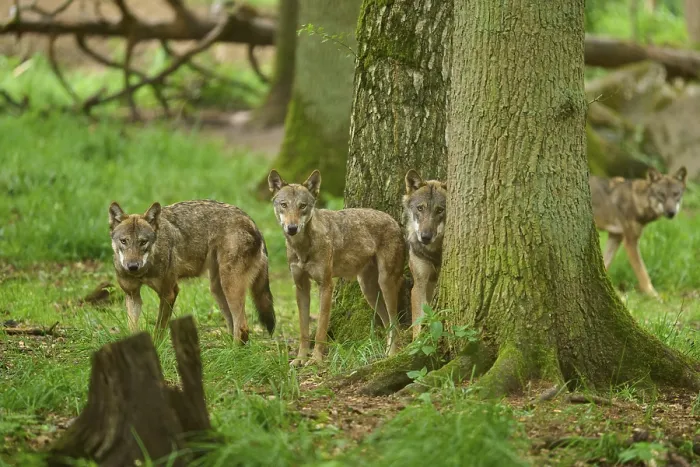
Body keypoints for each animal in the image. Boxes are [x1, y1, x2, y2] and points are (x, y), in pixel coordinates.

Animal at [108, 199, 276, 342]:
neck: (144, 270)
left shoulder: (169, 293)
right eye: (124, 241)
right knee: (234, 325)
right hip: (217, 289)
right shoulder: (132, 295)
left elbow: (159, 329)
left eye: (143, 242)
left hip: (230, 286)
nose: (132, 266)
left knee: (242, 327)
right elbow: (132, 327)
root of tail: (252, 222)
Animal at [267, 169, 405, 366]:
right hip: (369, 291)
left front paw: (316, 360)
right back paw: (386, 355)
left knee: (396, 322)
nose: (292, 228)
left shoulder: (326, 285)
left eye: (302, 206)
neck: (302, 248)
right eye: (284, 205)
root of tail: (394, 221)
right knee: (388, 323)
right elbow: (303, 331)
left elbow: (320, 329)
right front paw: (300, 359)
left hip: (385, 284)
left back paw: (393, 356)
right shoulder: (301, 287)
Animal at [403, 169, 447, 339]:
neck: (434, 252)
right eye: (420, 208)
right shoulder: (419, 284)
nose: (425, 237)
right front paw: (417, 342)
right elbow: (418, 322)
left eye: (440, 210)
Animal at [590, 166, 687, 297]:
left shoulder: (616, 237)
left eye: (676, 194)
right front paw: (653, 295)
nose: (671, 213)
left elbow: (605, 263)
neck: (638, 201)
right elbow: (642, 272)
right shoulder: (630, 241)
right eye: (661, 194)